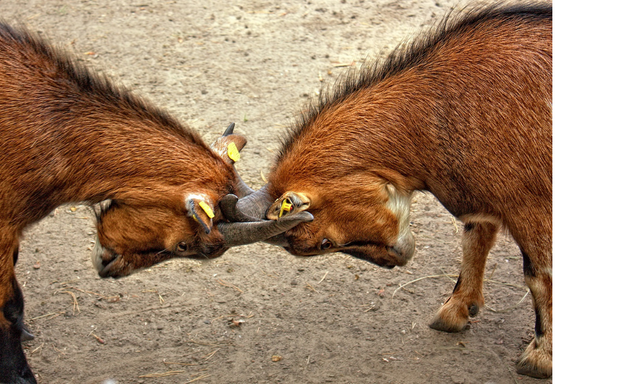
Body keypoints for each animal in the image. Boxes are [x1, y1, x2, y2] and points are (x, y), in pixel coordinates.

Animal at [227, 3, 552, 380]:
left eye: (323, 243)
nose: (394, 261)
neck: (437, 108)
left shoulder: (531, 204)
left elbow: (539, 276)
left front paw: (540, 358)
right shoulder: (482, 198)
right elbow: (475, 241)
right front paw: (455, 311)